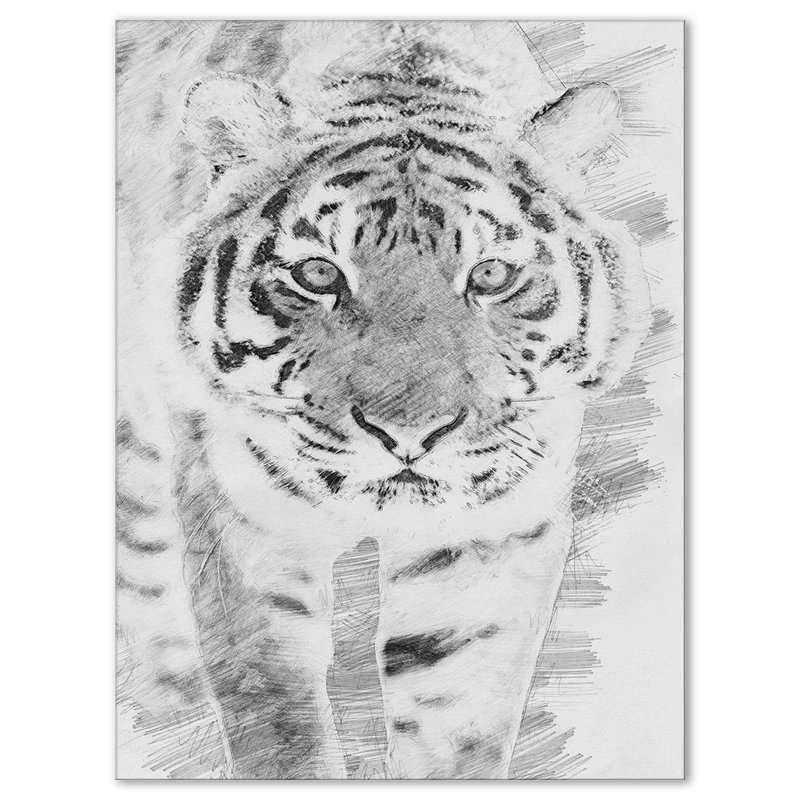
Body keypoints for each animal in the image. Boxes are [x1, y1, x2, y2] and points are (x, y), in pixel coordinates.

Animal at [116, 20, 651, 779]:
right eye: (318, 274)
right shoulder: (244, 520)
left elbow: (458, 720)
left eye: (491, 275)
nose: (408, 433)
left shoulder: (486, 537)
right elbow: (276, 715)